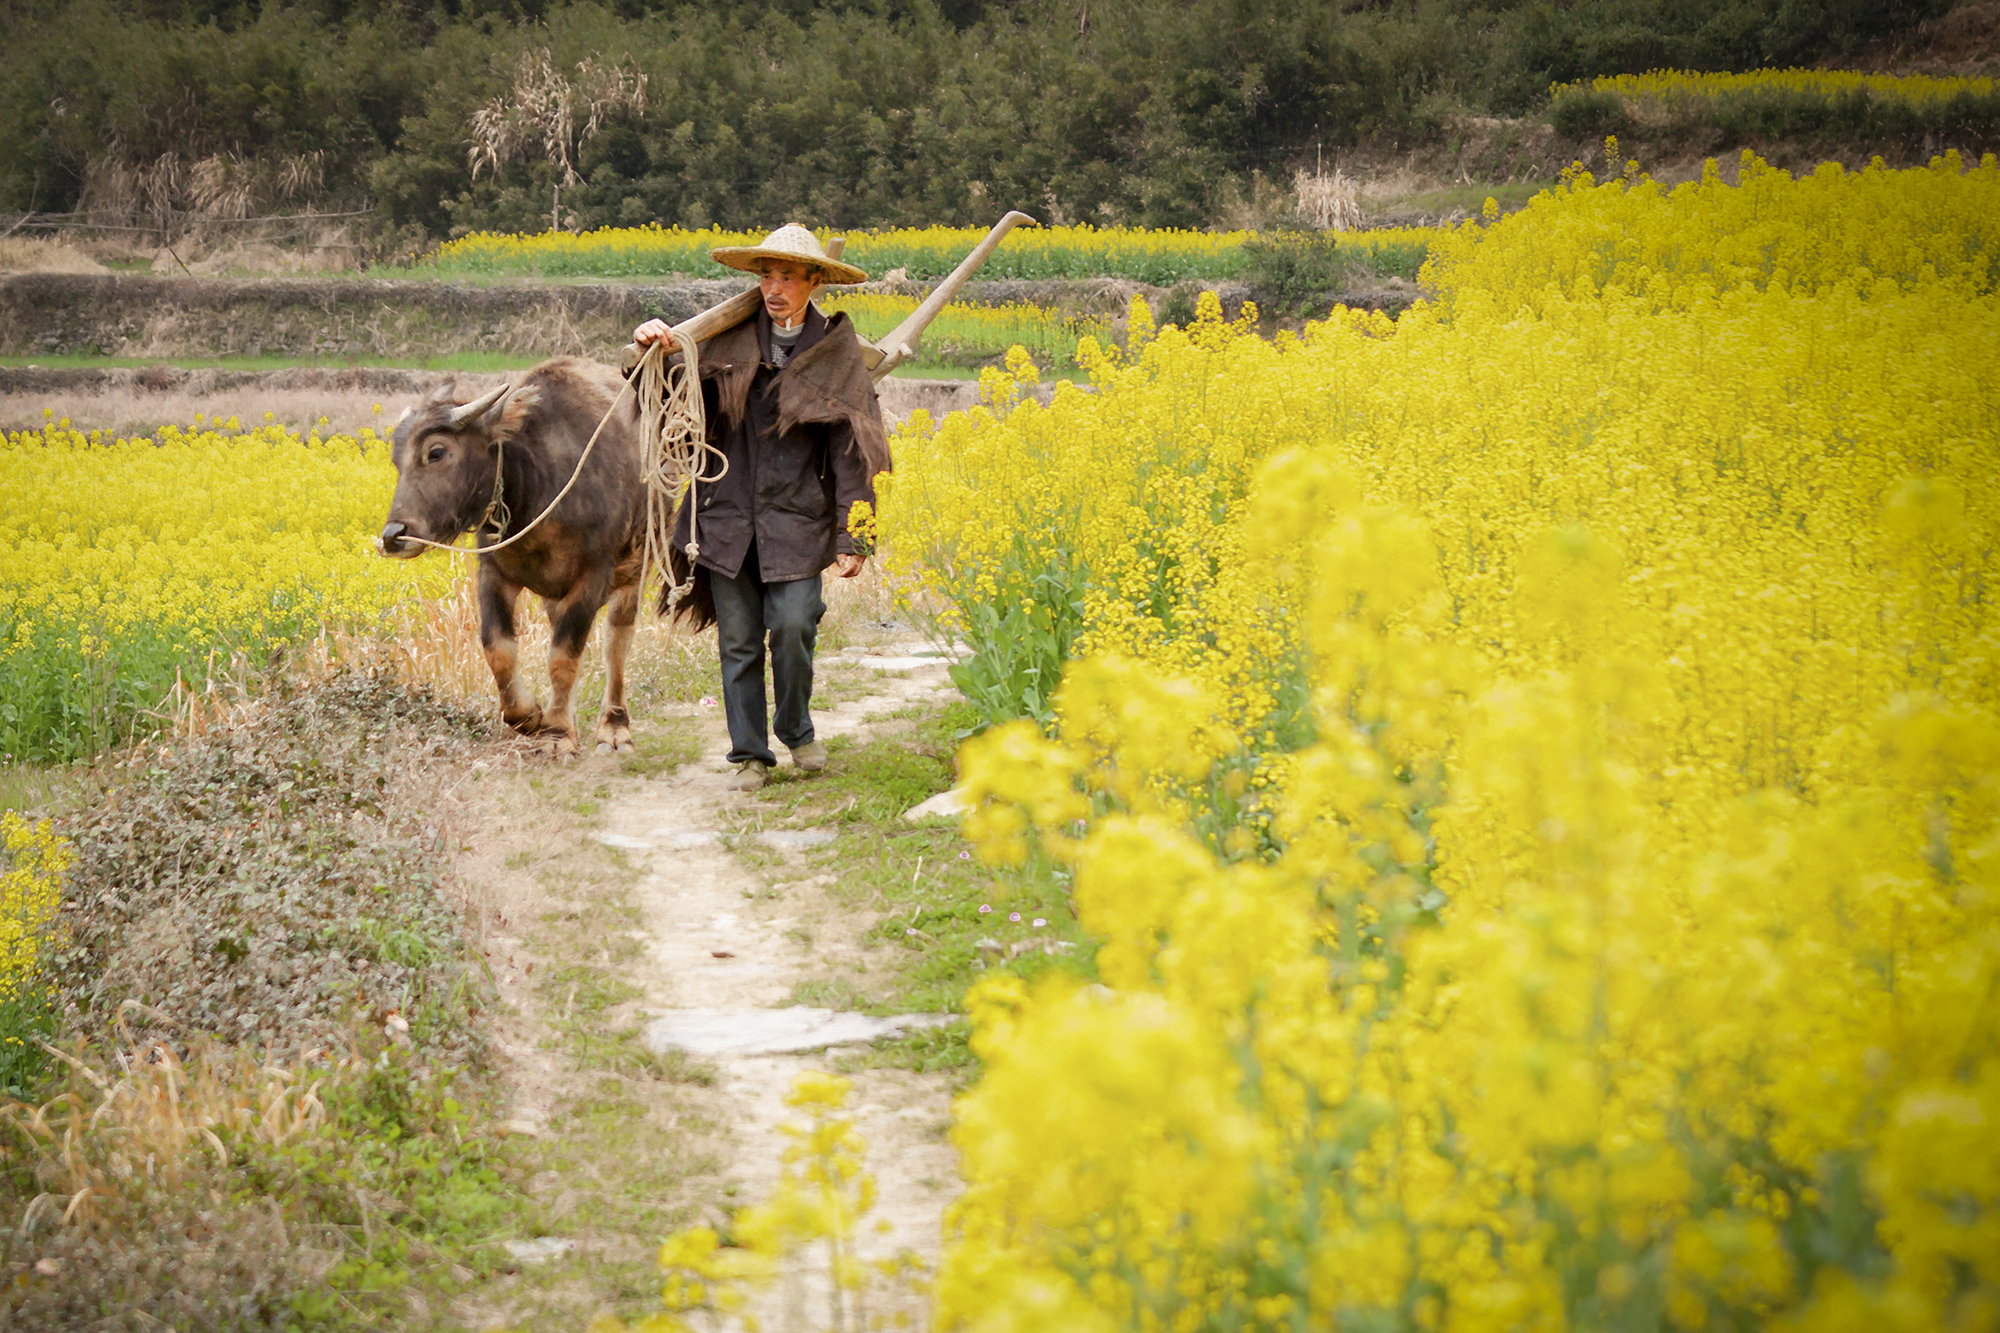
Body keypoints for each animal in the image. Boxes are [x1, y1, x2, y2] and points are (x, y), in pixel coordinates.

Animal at [378, 352, 644, 752]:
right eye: (396, 461)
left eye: (436, 452)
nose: (394, 535)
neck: (538, 489)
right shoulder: (493, 571)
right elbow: (498, 649)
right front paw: (530, 716)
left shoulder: (593, 575)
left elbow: (564, 655)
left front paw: (557, 733)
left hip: (636, 567)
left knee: (617, 640)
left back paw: (614, 726)